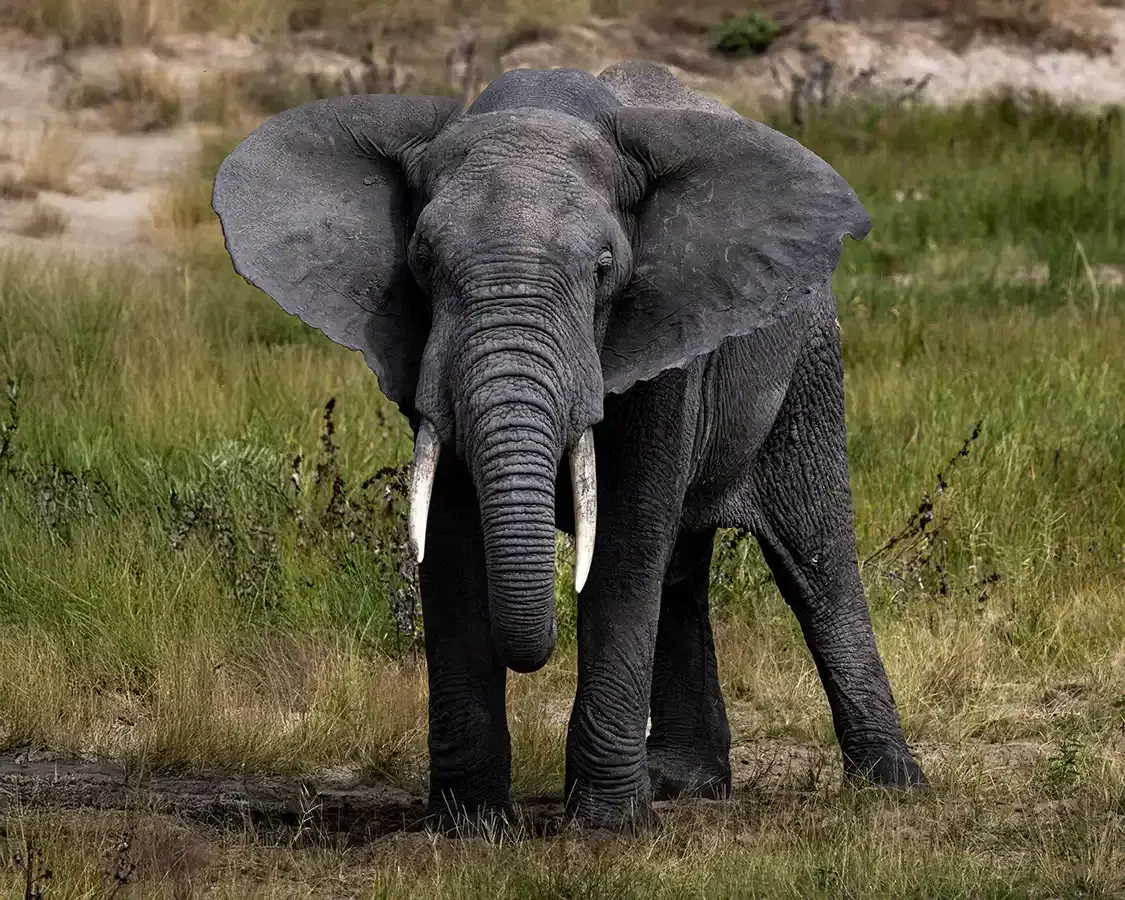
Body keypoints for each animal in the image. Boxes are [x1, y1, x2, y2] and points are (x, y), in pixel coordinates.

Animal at [212, 60, 927, 830]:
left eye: (604, 268)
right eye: (422, 261)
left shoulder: (666, 336)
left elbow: (622, 544)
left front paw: (606, 827)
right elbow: (451, 541)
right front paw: (468, 826)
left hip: (809, 365)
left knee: (814, 565)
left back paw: (891, 786)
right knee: (682, 576)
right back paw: (682, 782)